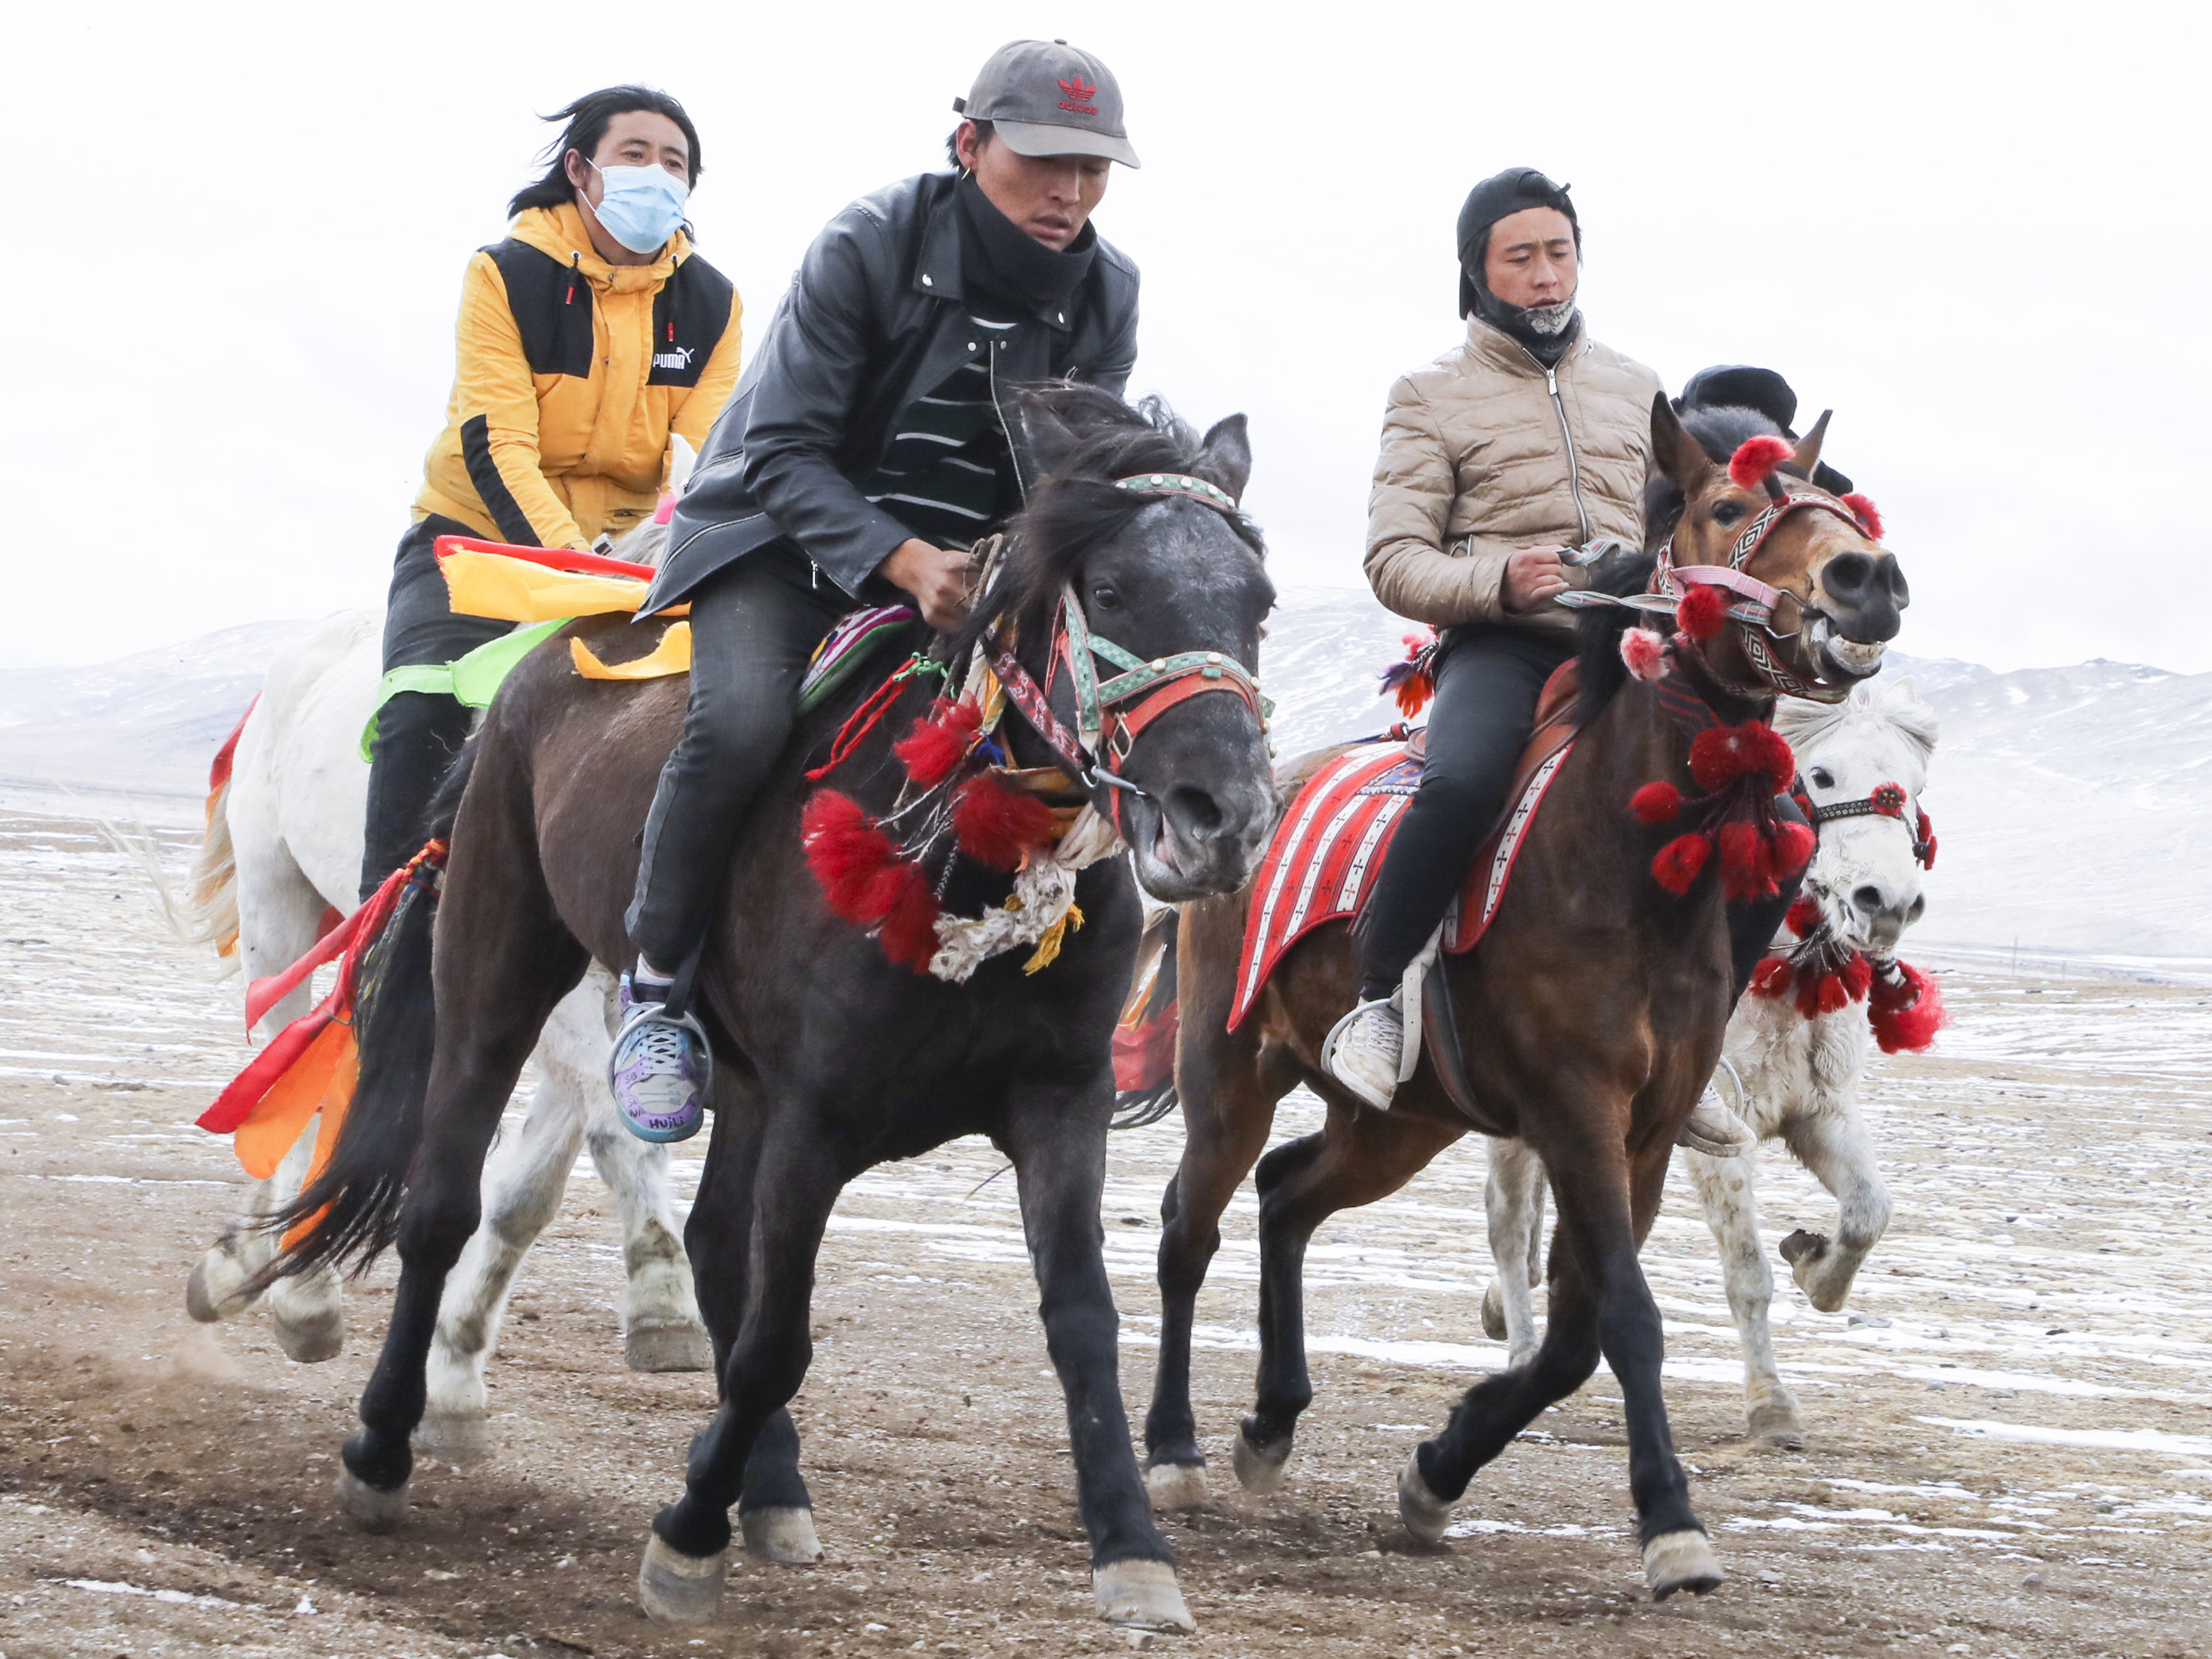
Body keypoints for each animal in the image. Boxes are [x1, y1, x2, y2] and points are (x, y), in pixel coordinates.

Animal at [179, 473, 708, 1460]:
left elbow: (528, 1189)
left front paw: (453, 1381)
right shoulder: (544, 975)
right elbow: (613, 1126)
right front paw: (666, 1299)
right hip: (284, 907)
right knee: (287, 1069)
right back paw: (284, 1285)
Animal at [1486, 681, 1938, 1451]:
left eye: (1915, 787)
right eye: (1821, 777)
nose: (1889, 904)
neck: (1782, 979)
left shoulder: (1822, 1114)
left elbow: (1868, 1214)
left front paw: (1812, 1263)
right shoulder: (1718, 1136)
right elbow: (1747, 1273)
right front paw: (1772, 1408)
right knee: (1510, 1220)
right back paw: (1517, 1348)